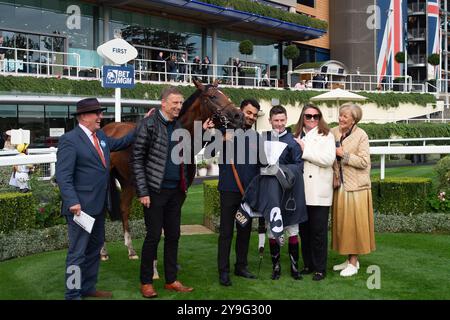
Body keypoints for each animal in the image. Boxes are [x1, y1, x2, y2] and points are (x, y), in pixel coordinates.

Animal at [100, 79, 244, 262]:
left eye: (225, 94)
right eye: (213, 96)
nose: (239, 116)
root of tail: (107, 128)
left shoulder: (180, 192)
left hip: (128, 181)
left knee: (124, 208)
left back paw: (131, 250)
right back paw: (103, 251)